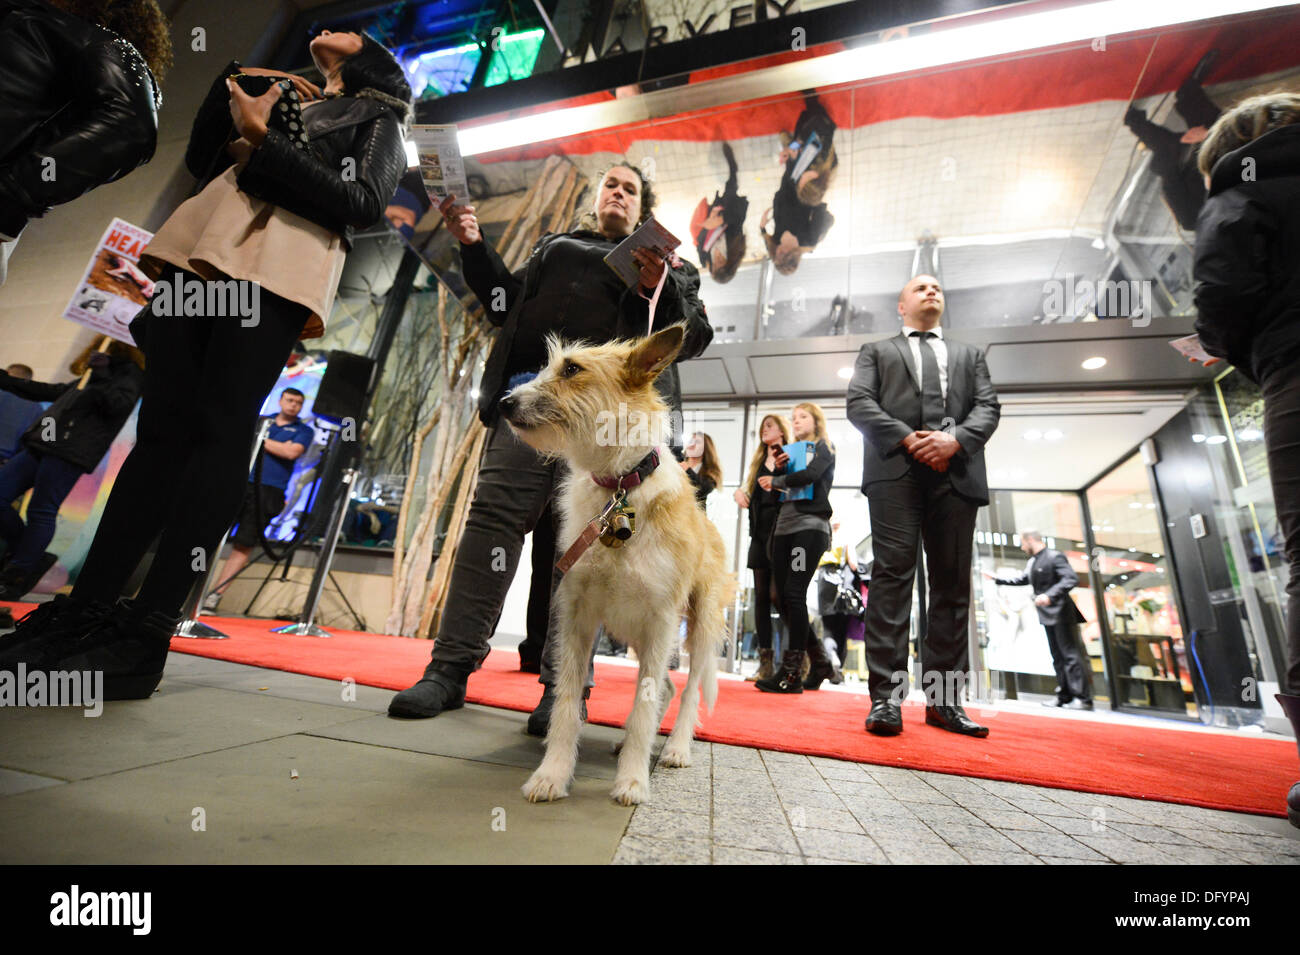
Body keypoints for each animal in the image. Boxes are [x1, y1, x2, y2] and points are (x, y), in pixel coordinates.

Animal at [499, 324, 733, 805]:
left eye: (572, 369)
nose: (503, 403)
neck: (619, 490)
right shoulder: (577, 613)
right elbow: (567, 699)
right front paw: (552, 773)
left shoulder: (662, 619)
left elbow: (645, 702)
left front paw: (632, 780)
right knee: (666, 684)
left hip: (698, 627)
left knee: (687, 690)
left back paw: (676, 748)